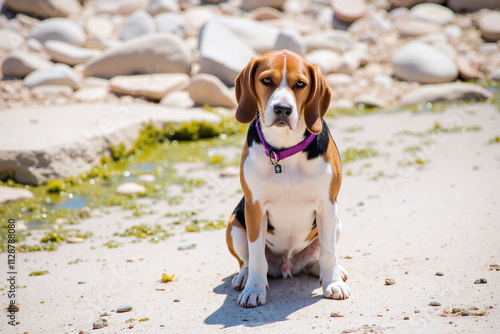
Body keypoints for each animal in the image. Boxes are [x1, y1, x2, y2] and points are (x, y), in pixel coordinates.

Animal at [228, 49, 352, 308]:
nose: (283, 109)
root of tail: (287, 266)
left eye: (301, 84)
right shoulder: (254, 207)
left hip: (336, 222)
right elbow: (256, 255)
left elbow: (328, 252)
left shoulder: (327, 205)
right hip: (234, 225)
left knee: (319, 257)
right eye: (266, 80)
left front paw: (333, 283)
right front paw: (254, 289)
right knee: (246, 261)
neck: (283, 151)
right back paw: (244, 278)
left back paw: (331, 272)